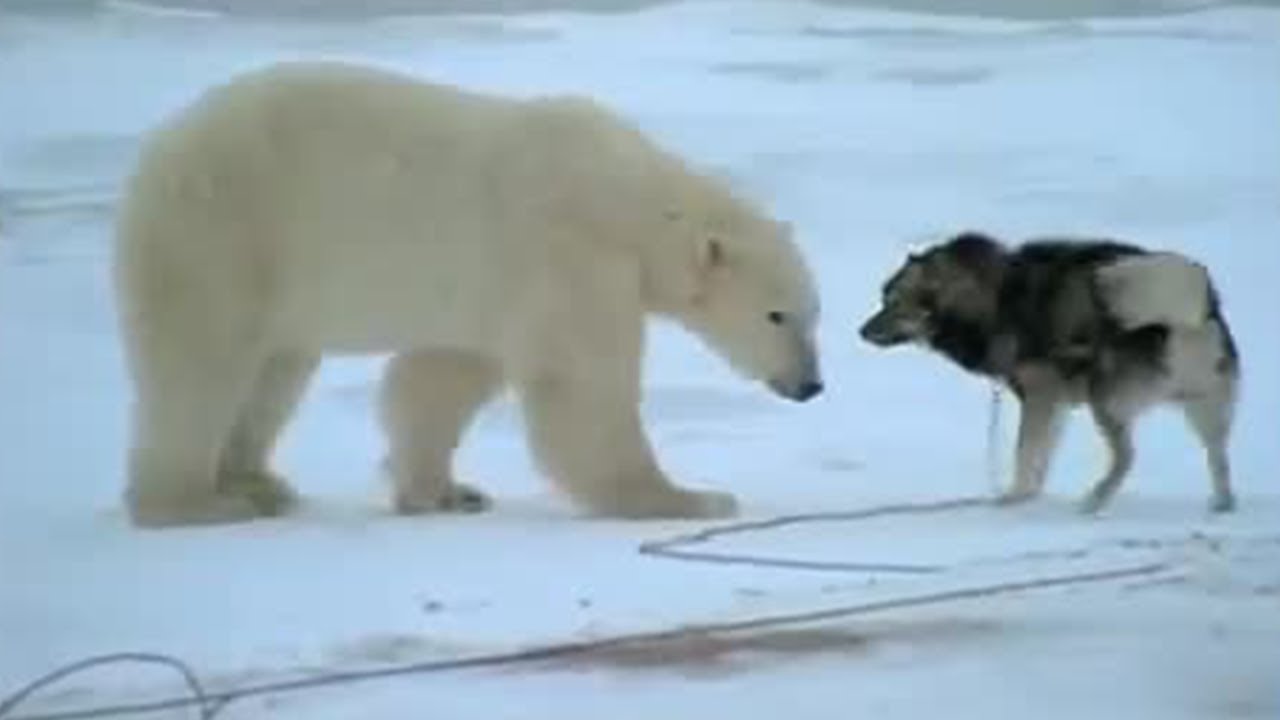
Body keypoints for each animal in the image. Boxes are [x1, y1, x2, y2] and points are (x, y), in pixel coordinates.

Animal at [113, 61, 823, 528]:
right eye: (776, 315)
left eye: (815, 314)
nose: (811, 386)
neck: (630, 197)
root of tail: (160, 150)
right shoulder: (568, 253)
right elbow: (582, 386)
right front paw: (688, 498)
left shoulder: (493, 287)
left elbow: (438, 377)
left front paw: (445, 492)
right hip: (226, 233)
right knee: (201, 367)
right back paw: (194, 502)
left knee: (275, 369)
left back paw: (260, 483)